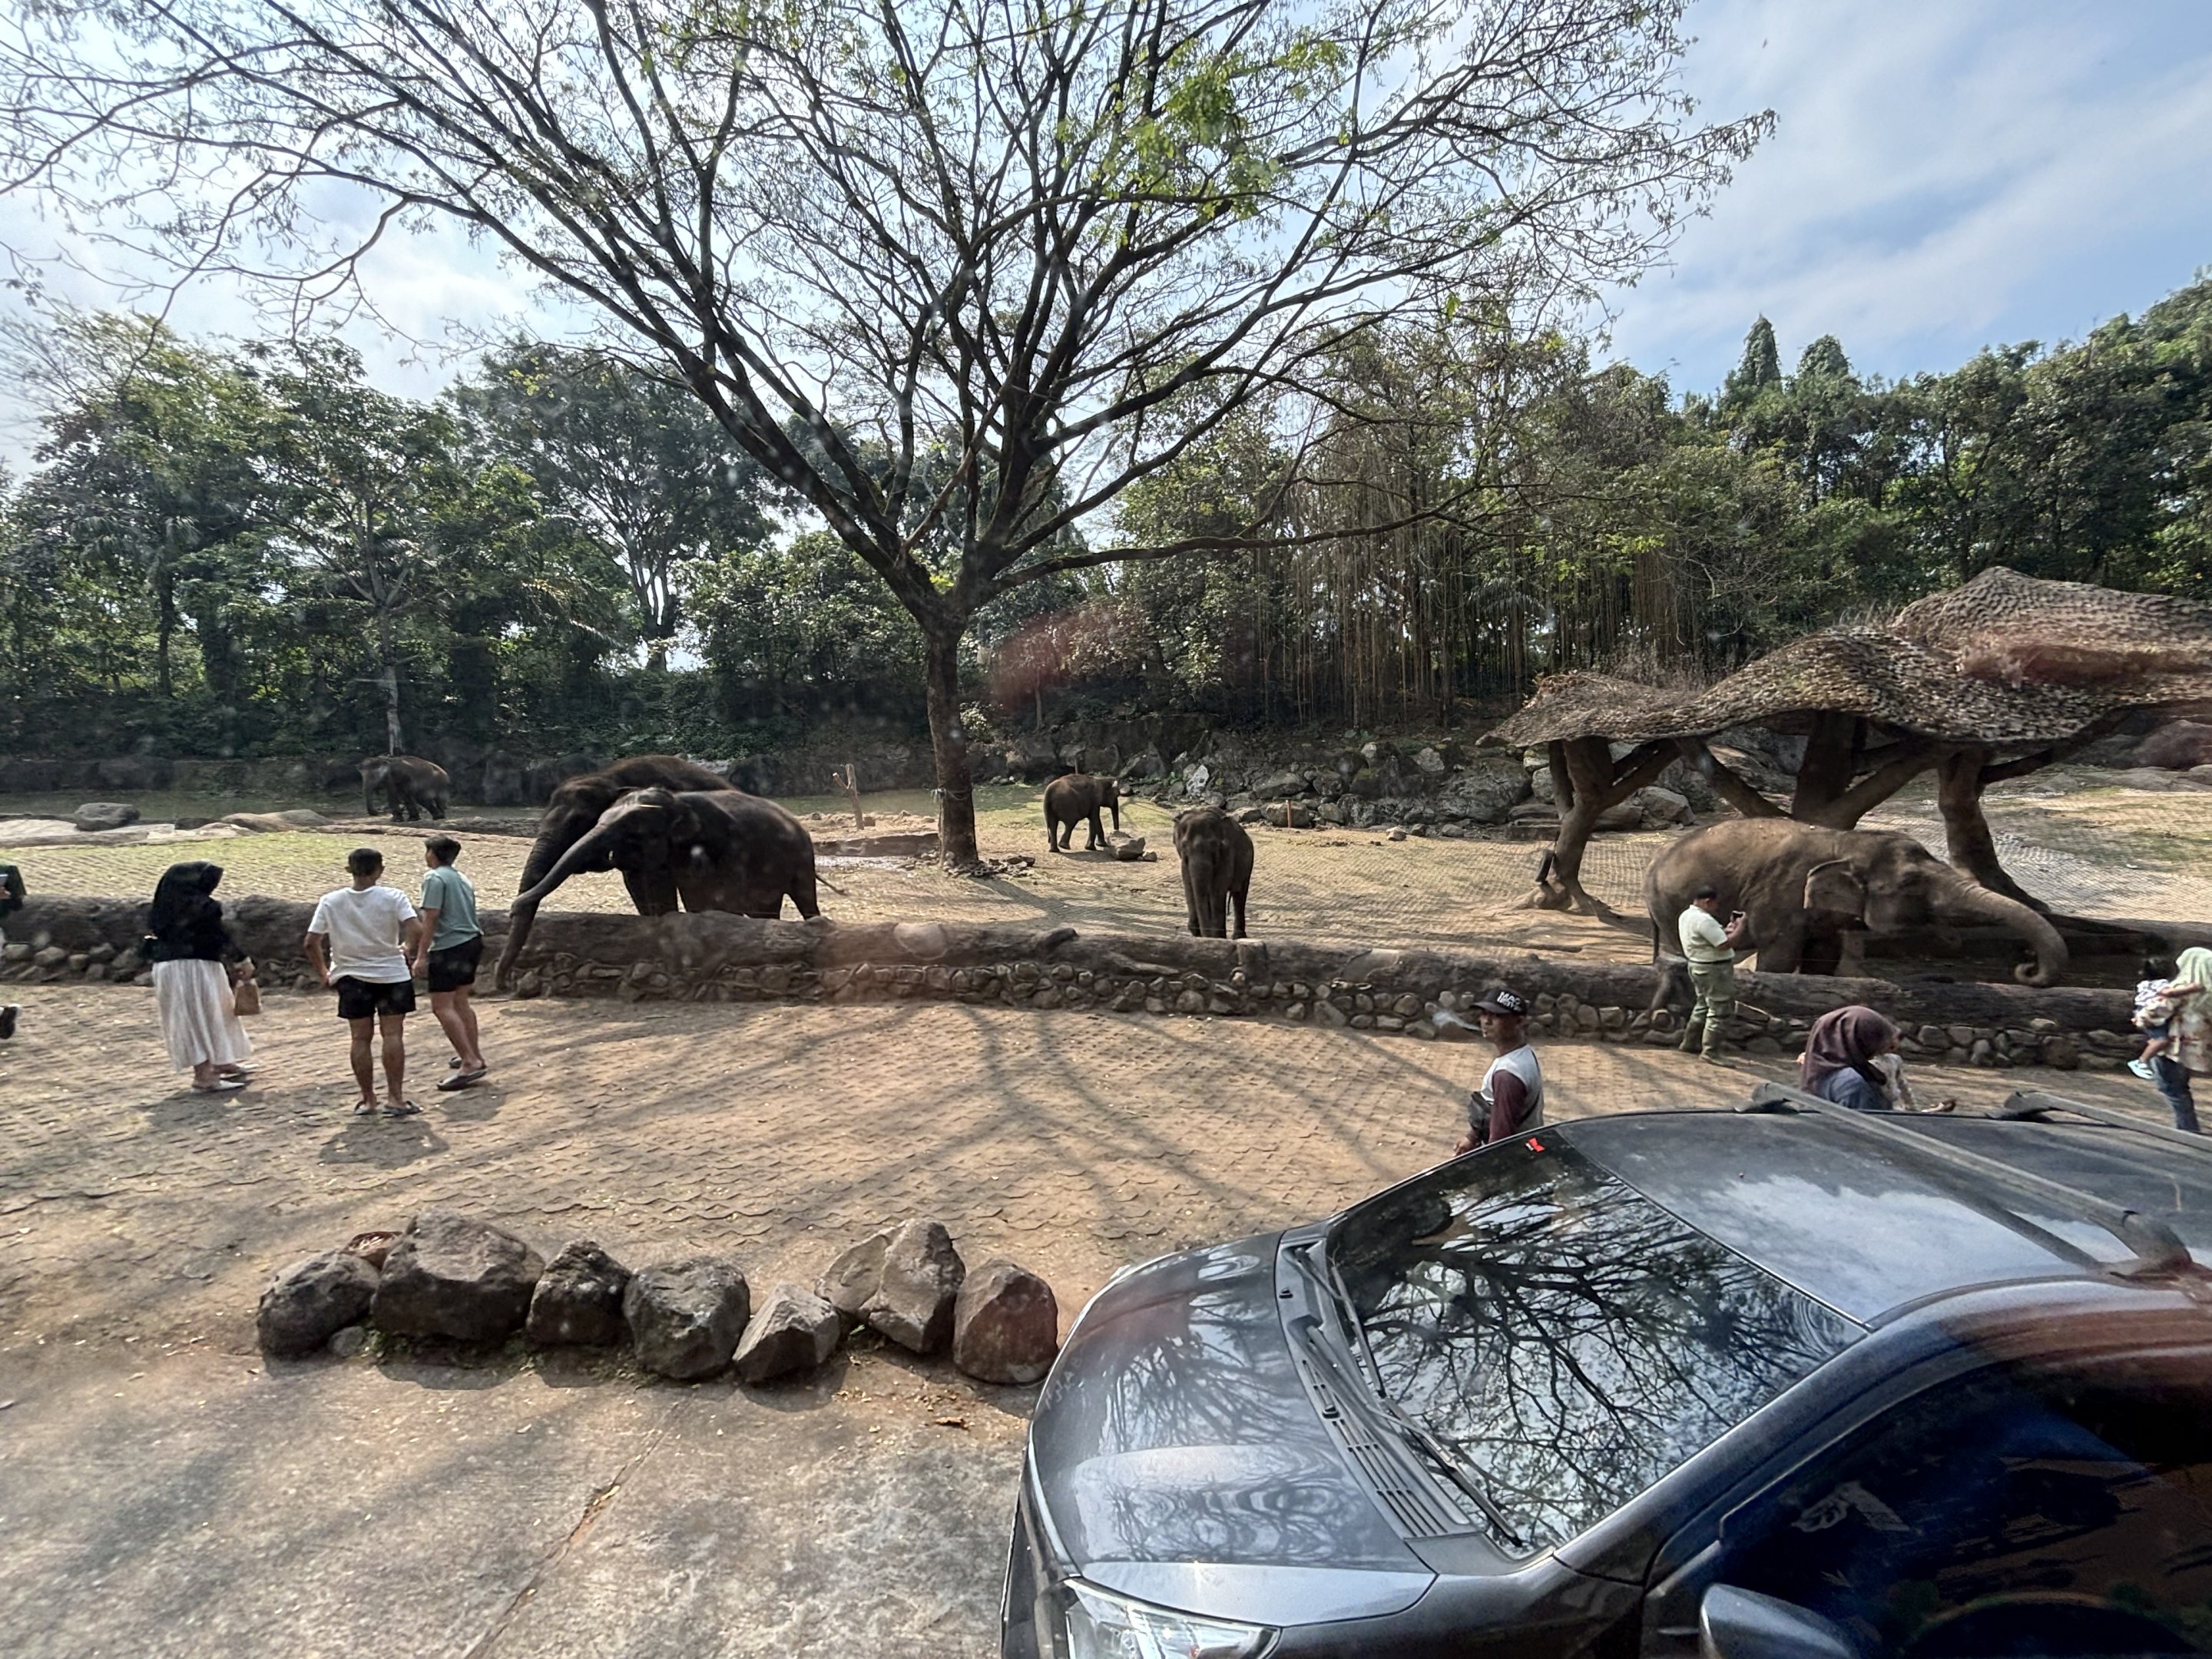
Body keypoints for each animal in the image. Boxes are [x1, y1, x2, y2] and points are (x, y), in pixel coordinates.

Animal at [499, 787, 821, 985]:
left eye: (630, 832)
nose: (512, 908)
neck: (675, 802)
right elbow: (657, 887)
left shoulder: (722, 845)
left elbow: (709, 897)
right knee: (764, 907)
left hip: (802, 857)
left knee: (802, 898)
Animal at [1175, 806, 1253, 939]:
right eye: (1184, 846)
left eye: (1215, 846)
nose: (1199, 933)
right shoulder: (1184, 863)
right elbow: (1189, 887)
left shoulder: (1227, 856)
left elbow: (1217, 890)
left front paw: (1218, 937)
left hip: (1248, 867)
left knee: (1239, 895)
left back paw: (1238, 937)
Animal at [1645, 818, 2068, 987]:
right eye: (1911, 882)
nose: (2026, 967)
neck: (1846, 842)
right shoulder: (1781, 896)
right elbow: (1780, 957)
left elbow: (1823, 957)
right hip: (1668, 903)